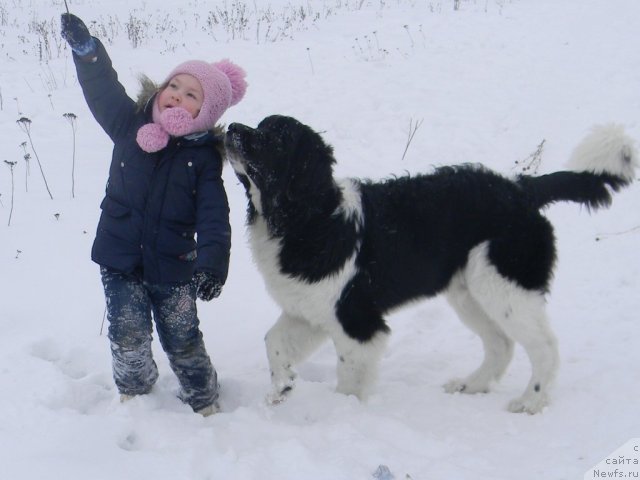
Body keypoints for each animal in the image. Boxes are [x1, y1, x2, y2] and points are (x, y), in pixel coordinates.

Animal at [225, 116, 636, 412]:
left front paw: (344, 413)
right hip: (469, 291)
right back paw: (472, 385)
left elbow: (350, 377)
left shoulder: (356, 320)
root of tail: (522, 189)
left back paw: (531, 401)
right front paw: (281, 390)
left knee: (544, 346)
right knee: (501, 343)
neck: (309, 218)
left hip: (505, 285)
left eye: (274, 138)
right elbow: (274, 342)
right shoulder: (312, 311)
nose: (230, 128)